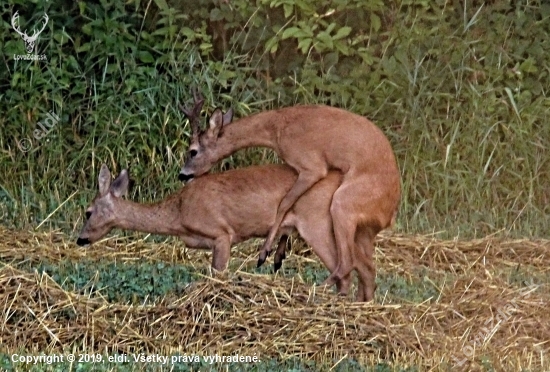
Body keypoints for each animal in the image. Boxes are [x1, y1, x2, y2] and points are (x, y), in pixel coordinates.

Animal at [75, 163, 368, 296]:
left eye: (87, 212)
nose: (80, 239)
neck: (178, 212)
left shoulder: (222, 234)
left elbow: (218, 273)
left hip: (315, 223)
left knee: (345, 268)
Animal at [181, 103, 402, 300]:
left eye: (193, 151)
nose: (182, 175)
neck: (277, 129)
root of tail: (389, 213)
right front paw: (278, 255)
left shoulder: (312, 167)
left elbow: (285, 203)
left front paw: (264, 254)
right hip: (363, 232)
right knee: (367, 269)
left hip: (343, 204)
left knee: (348, 262)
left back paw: (317, 289)